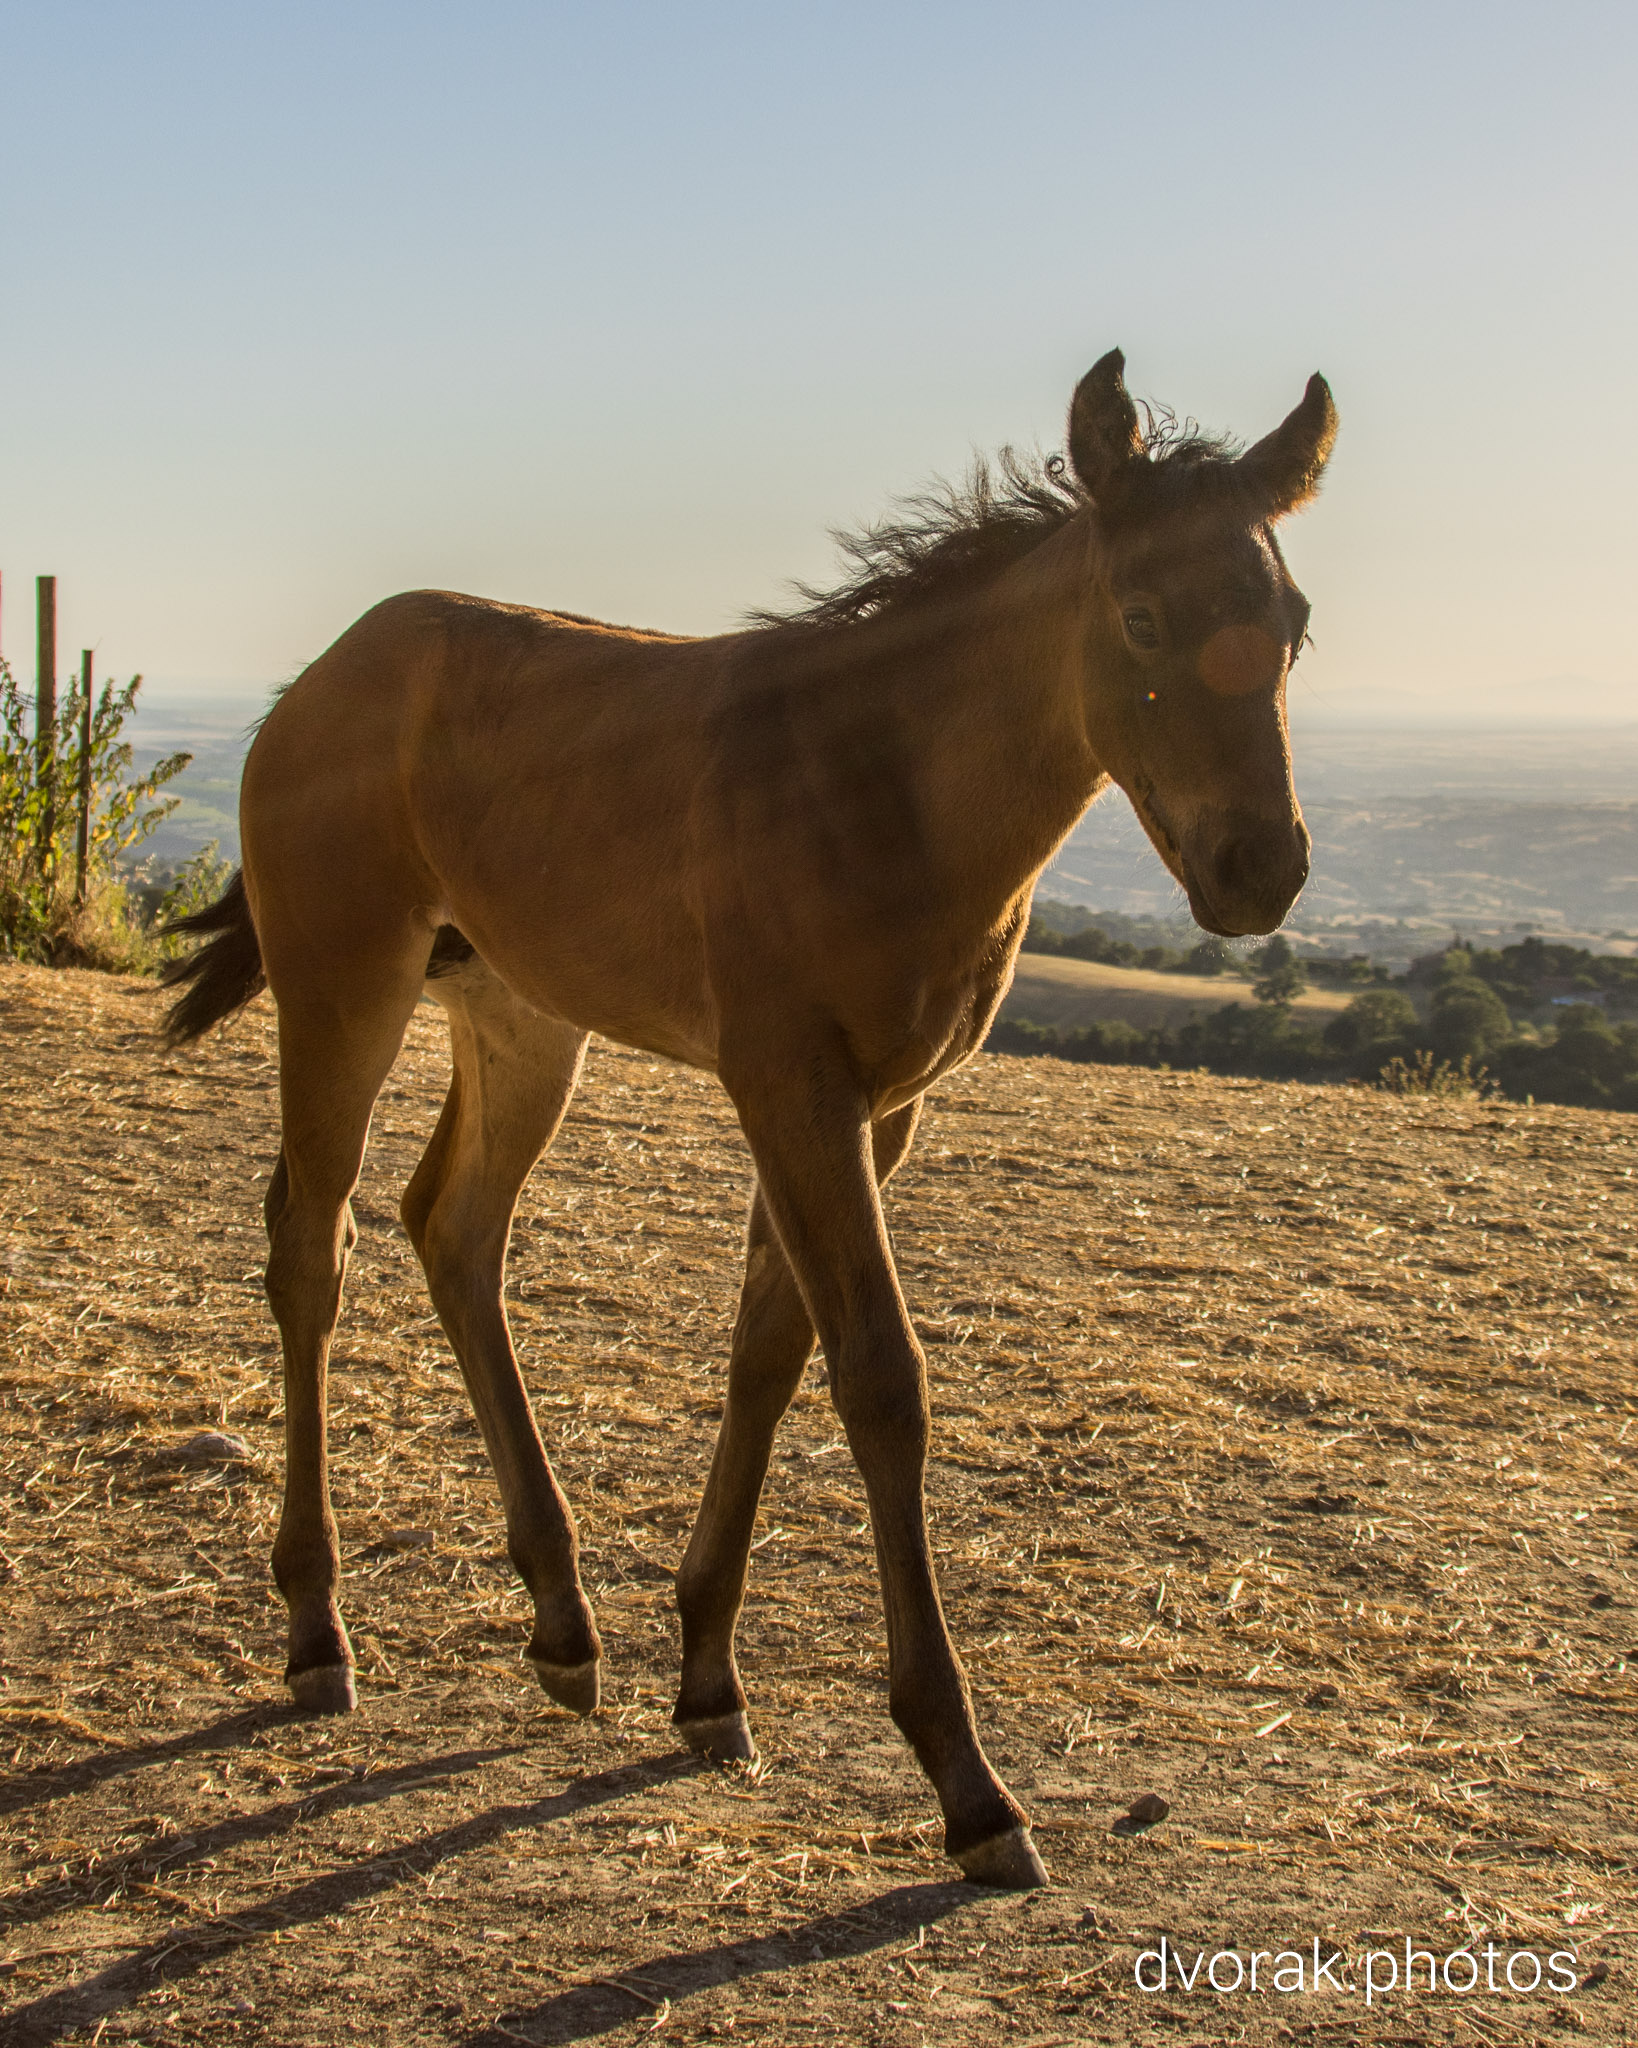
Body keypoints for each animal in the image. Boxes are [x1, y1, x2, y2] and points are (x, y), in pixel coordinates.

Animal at [163, 350, 1336, 1889]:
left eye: (1294, 623)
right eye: (1142, 614)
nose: (1259, 870)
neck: (883, 781)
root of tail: (318, 677)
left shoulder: (880, 1108)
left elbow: (770, 1351)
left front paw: (709, 1675)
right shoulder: (789, 1086)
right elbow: (880, 1378)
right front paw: (967, 1782)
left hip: (520, 1013)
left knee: (451, 1229)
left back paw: (562, 1621)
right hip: (341, 979)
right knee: (312, 1243)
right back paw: (316, 1631)